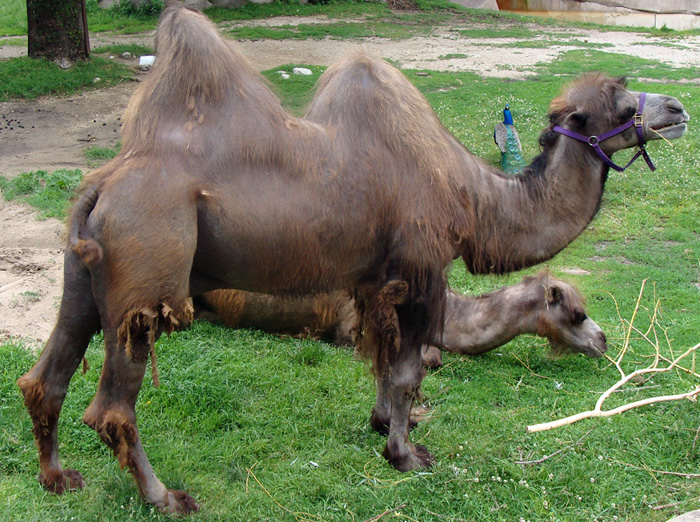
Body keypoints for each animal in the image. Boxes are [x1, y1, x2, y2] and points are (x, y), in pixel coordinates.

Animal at [16, 5, 688, 512]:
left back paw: (58, 479)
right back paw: (167, 499)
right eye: (621, 105)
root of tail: (102, 184)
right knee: (112, 408)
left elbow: (384, 363)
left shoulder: (374, 280)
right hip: (145, 277)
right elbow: (411, 368)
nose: (678, 109)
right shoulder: (421, 267)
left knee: (46, 375)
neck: (472, 196)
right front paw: (407, 456)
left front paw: (388, 426)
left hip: (84, 274)